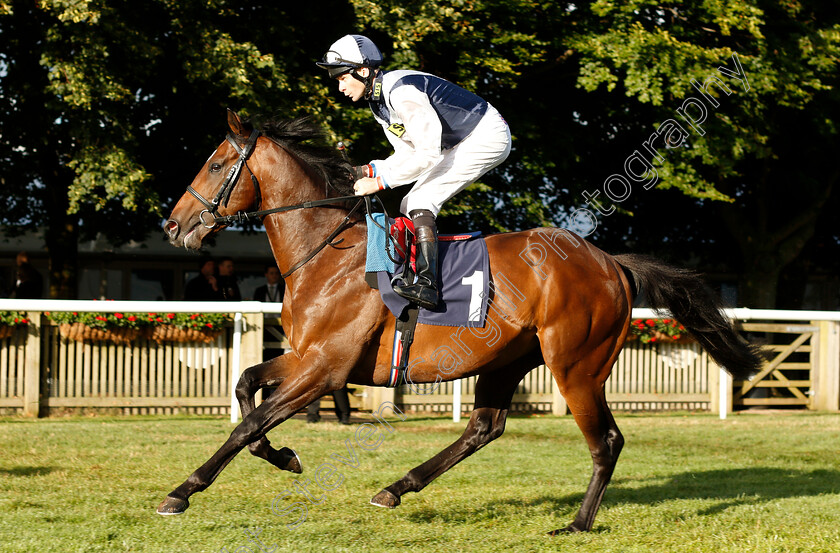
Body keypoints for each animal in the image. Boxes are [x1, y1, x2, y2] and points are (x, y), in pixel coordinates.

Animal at [156, 110, 760, 532]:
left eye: (215, 164)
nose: (173, 225)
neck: (325, 254)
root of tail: (611, 262)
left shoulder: (326, 368)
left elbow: (248, 423)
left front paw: (182, 491)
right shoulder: (307, 357)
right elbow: (245, 389)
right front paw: (284, 457)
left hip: (577, 366)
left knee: (605, 440)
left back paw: (577, 523)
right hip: (508, 360)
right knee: (483, 428)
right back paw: (397, 487)